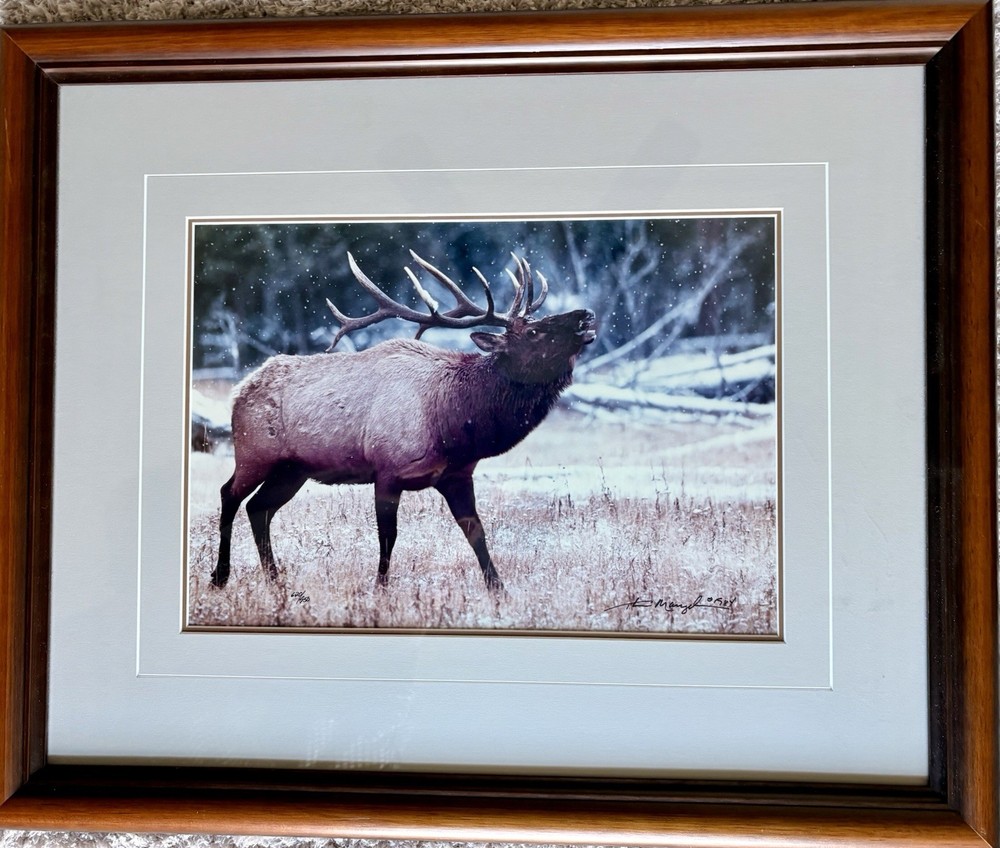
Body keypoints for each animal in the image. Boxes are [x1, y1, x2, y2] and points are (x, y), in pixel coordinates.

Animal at [210, 250, 596, 594]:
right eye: (533, 333)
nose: (586, 315)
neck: (452, 424)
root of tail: (239, 392)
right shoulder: (387, 470)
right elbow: (388, 537)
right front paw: (380, 589)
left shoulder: (457, 475)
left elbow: (476, 532)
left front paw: (499, 590)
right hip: (255, 453)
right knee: (229, 494)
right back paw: (220, 577)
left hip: (293, 470)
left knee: (259, 508)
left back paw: (275, 581)